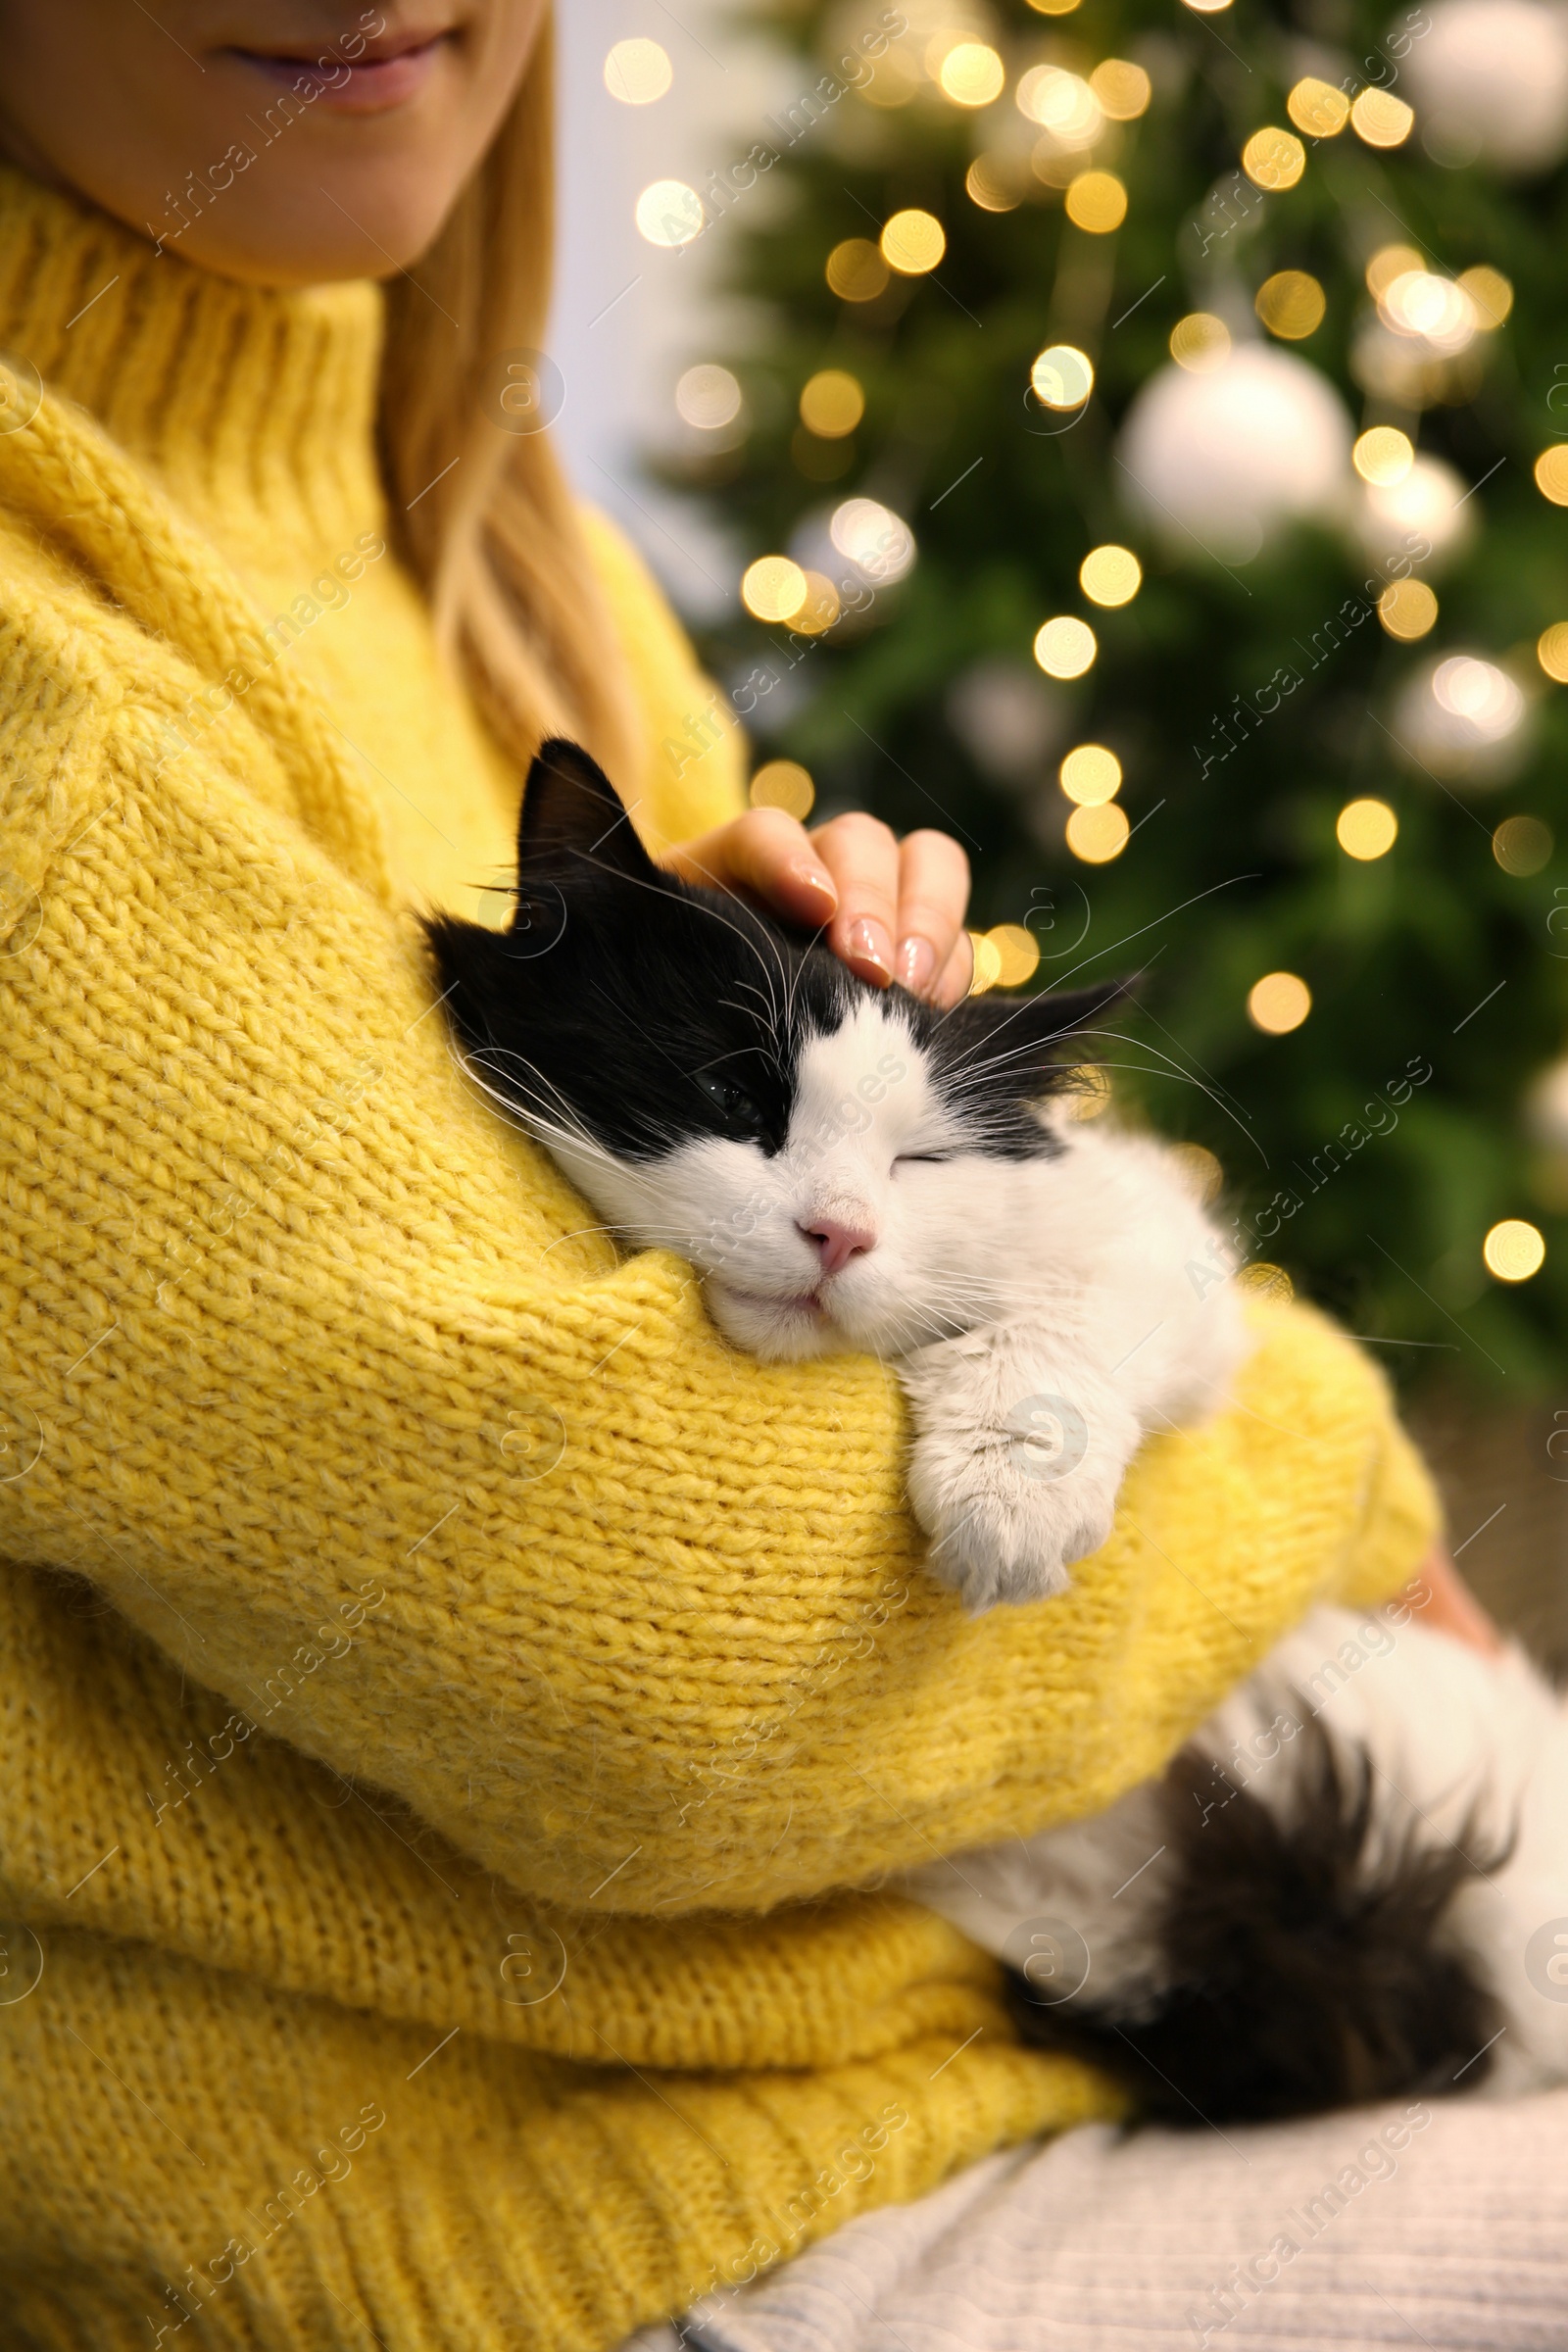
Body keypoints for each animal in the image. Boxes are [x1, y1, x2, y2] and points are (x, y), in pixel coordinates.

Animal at [429, 748, 1568, 2135]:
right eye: (734, 1096)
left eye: (917, 1163)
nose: (839, 1235)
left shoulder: (1158, 1260)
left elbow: (1047, 1352)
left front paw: (1007, 1512)